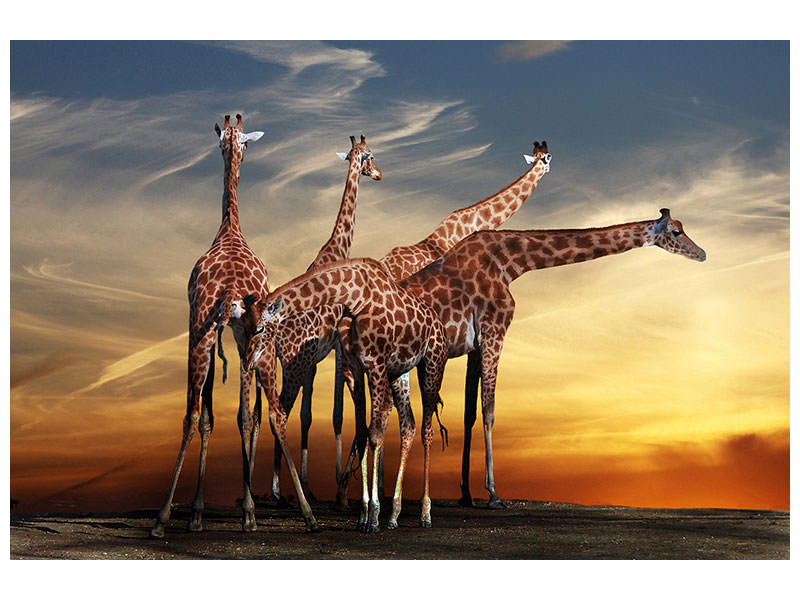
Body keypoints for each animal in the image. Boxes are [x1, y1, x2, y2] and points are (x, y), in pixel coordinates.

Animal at [150, 114, 268, 538]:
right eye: (231, 144)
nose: (234, 151)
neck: (229, 228)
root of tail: (232, 286)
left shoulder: (205, 326)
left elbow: (206, 416)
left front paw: (196, 513)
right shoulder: (228, 332)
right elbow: (227, 416)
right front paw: (202, 513)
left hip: (200, 333)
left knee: (192, 415)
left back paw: (163, 517)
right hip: (244, 338)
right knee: (246, 416)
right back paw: (249, 512)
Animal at [245, 258, 449, 532]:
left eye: (259, 329)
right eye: (244, 328)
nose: (248, 362)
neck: (354, 298)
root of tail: (439, 324)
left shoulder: (374, 362)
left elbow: (374, 435)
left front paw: (373, 516)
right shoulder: (354, 367)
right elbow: (362, 432)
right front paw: (364, 514)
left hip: (432, 364)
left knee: (427, 430)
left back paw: (425, 513)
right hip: (399, 372)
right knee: (409, 425)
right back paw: (394, 514)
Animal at [267, 135, 381, 502]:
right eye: (370, 156)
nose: (379, 174)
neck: (337, 247)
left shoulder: (316, 357)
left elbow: (309, 415)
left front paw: (311, 482)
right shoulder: (334, 348)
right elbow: (336, 412)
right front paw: (335, 485)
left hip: (285, 364)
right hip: (294, 365)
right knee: (279, 413)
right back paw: (285, 493)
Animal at [388, 208, 706, 511]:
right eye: (676, 232)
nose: (702, 253)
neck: (511, 263)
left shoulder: (476, 346)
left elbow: (470, 415)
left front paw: (466, 494)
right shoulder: (494, 332)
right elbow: (489, 410)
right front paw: (493, 494)